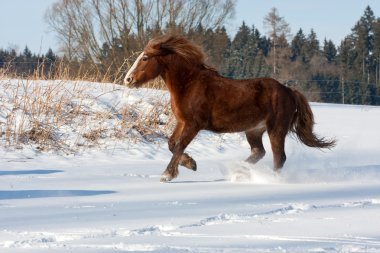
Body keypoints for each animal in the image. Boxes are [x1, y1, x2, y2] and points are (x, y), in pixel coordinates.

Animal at [123, 34, 334, 183]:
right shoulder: (182, 122)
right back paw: (239, 172)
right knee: (259, 152)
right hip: (254, 130)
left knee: (278, 157)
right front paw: (191, 163)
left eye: (145, 58)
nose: (128, 79)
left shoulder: (194, 124)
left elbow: (179, 146)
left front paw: (167, 175)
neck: (189, 84)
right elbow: (171, 144)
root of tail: (289, 91)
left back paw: (269, 179)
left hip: (276, 129)